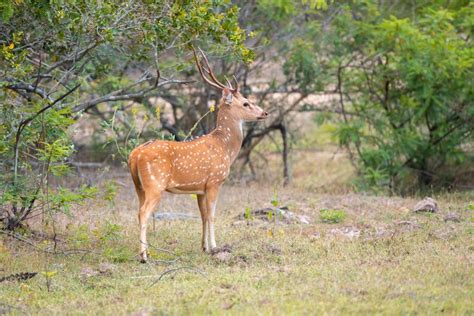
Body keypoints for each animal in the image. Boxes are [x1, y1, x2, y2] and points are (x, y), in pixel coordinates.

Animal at [127, 48, 266, 262]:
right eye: (245, 103)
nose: (265, 113)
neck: (225, 148)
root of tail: (135, 154)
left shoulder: (200, 188)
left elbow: (203, 215)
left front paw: (204, 247)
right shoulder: (215, 181)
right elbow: (212, 215)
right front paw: (215, 247)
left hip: (138, 186)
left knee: (137, 211)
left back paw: (146, 252)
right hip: (155, 184)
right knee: (143, 213)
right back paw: (144, 256)